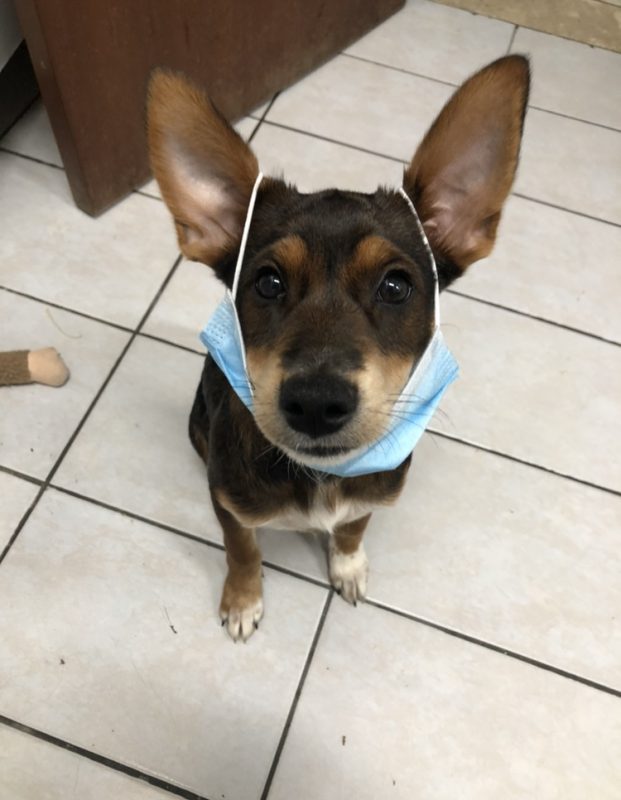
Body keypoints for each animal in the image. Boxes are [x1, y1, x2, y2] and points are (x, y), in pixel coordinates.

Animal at [147, 55, 530, 642]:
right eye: (267, 283)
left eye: (396, 286)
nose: (316, 402)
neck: (320, 477)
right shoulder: (230, 504)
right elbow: (242, 550)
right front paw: (243, 600)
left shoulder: (372, 491)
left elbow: (352, 527)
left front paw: (347, 566)